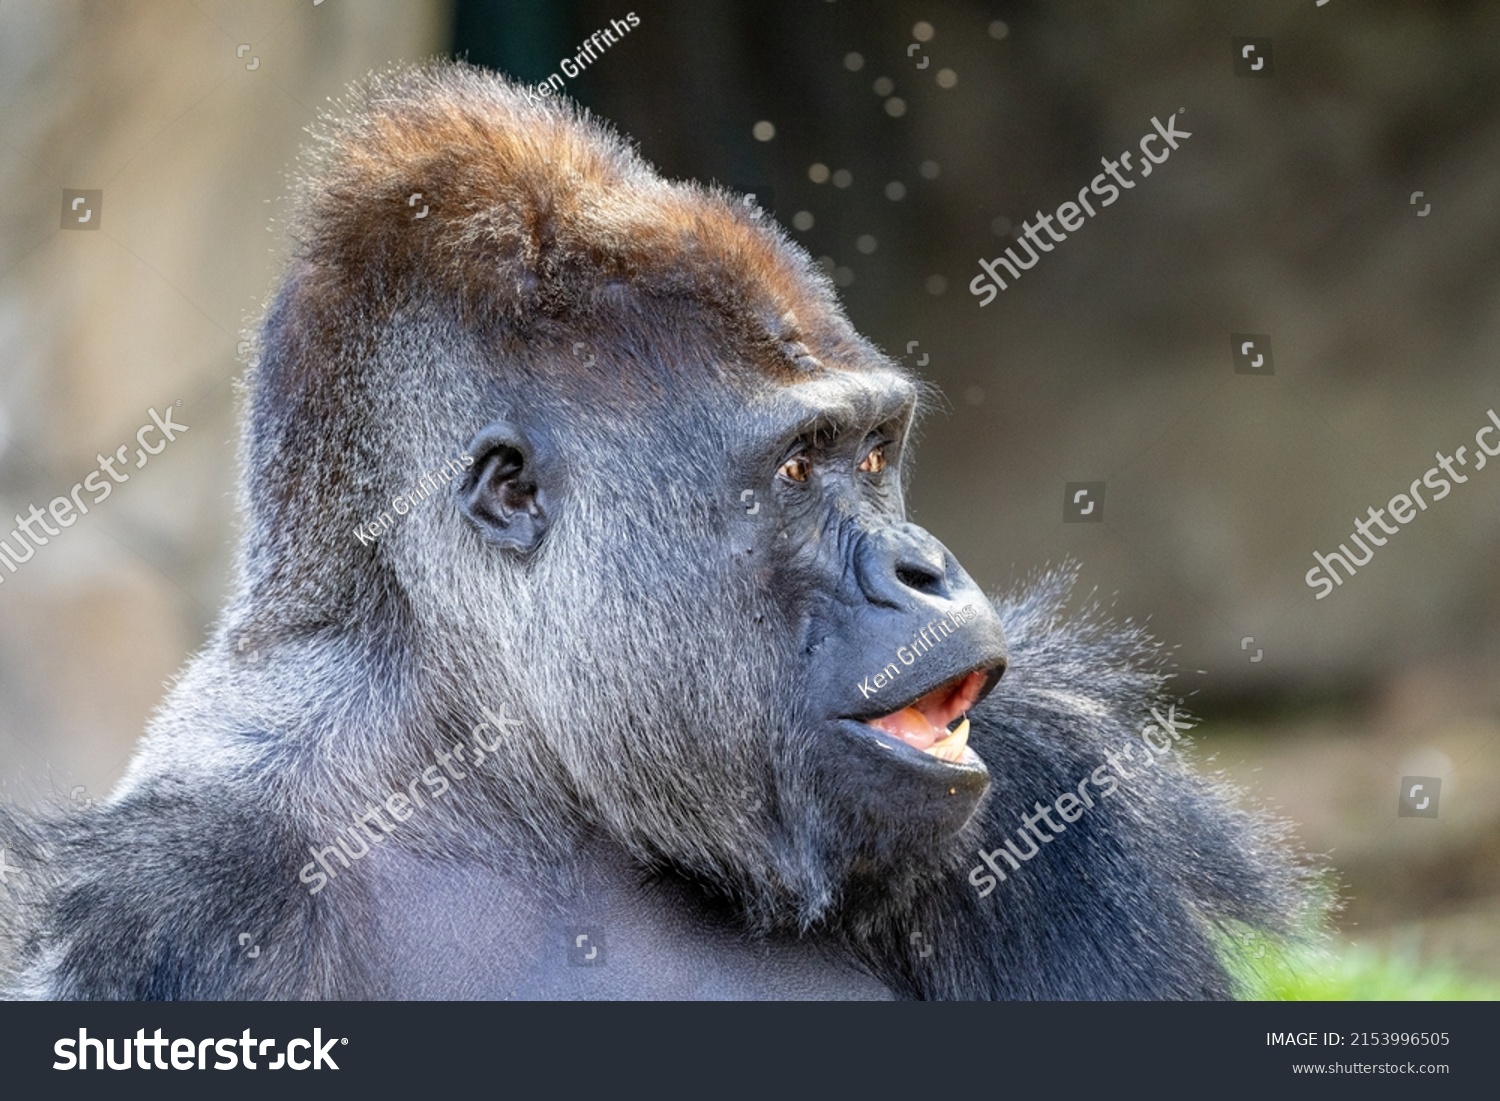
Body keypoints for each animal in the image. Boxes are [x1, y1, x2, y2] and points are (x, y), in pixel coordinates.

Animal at [0, 64, 1314, 1002]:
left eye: (875, 453)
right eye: (797, 465)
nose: (926, 567)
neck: (500, 771)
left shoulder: (1047, 767)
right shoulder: (169, 908)